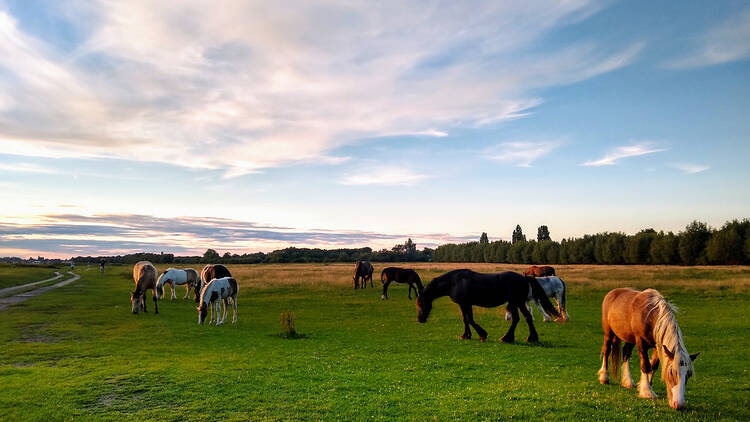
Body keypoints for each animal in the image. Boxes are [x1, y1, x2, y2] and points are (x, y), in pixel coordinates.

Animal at [414, 270, 560, 342]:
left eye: (421, 303)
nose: (420, 319)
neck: (453, 282)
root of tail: (524, 278)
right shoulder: (464, 304)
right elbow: (465, 320)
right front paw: (466, 335)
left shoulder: (465, 304)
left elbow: (469, 320)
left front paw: (482, 334)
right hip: (518, 303)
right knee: (526, 318)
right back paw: (530, 338)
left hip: (516, 302)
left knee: (519, 319)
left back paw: (507, 338)